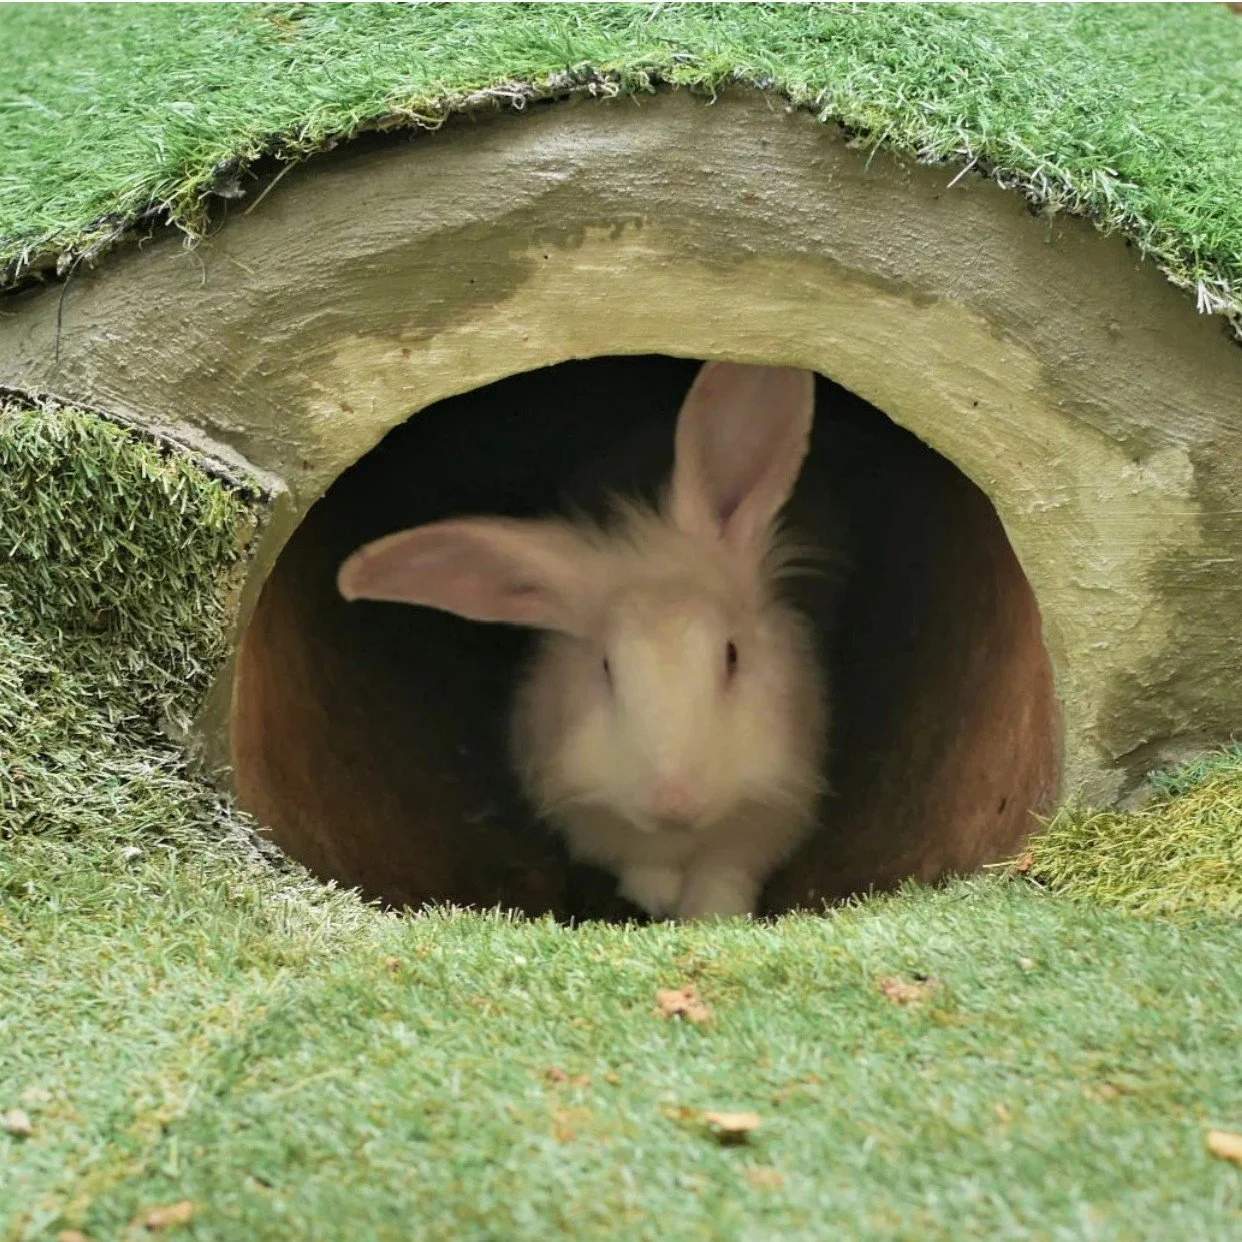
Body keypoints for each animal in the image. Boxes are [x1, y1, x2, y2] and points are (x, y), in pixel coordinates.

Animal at [337, 361, 832, 919]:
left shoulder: (765, 819)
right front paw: (659, 897)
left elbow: (724, 878)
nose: (675, 804)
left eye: (731, 655)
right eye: (606, 668)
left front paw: (708, 913)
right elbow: (644, 870)